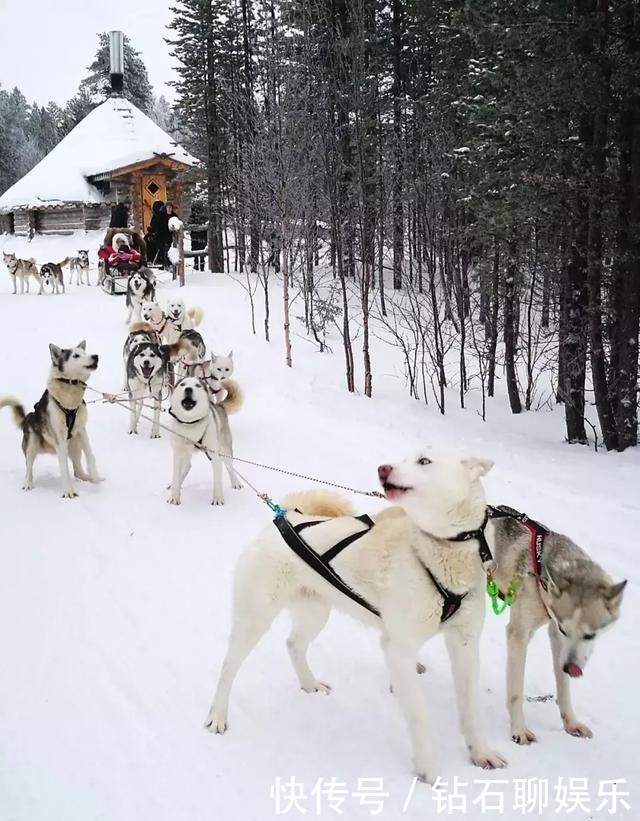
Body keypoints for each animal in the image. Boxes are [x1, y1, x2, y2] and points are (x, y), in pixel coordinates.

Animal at [0, 342, 101, 496]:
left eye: (85, 352)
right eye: (76, 355)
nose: (96, 356)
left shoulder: (81, 430)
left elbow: (90, 455)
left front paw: (95, 479)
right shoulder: (60, 438)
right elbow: (64, 468)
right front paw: (68, 492)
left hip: (74, 444)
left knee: (77, 470)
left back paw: (87, 478)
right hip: (32, 443)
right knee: (29, 469)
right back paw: (28, 484)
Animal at [168, 374, 242, 502]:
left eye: (197, 385)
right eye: (182, 384)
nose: (188, 389)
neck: (191, 423)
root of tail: (219, 405)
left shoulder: (215, 455)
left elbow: (217, 479)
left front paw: (218, 499)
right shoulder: (178, 453)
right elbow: (176, 475)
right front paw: (174, 497)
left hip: (225, 450)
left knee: (230, 467)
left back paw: (236, 483)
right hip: (186, 453)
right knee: (187, 467)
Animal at [205, 452, 504, 780]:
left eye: (423, 460)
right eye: (407, 458)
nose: (383, 468)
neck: (436, 554)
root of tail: (284, 516)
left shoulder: (465, 646)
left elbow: (471, 709)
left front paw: (482, 753)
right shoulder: (399, 650)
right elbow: (419, 715)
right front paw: (427, 768)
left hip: (316, 613)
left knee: (293, 645)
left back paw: (309, 684)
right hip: (255, 618)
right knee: (229, 666)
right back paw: (217, 715)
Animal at [490, 506, 624, 744]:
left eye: (590, 635)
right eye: (565, 630)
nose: (572, 668)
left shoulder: (556, 634)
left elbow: (563, 688)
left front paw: (570, 723)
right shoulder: (519, 635)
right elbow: (516, 691)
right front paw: (519, 730)